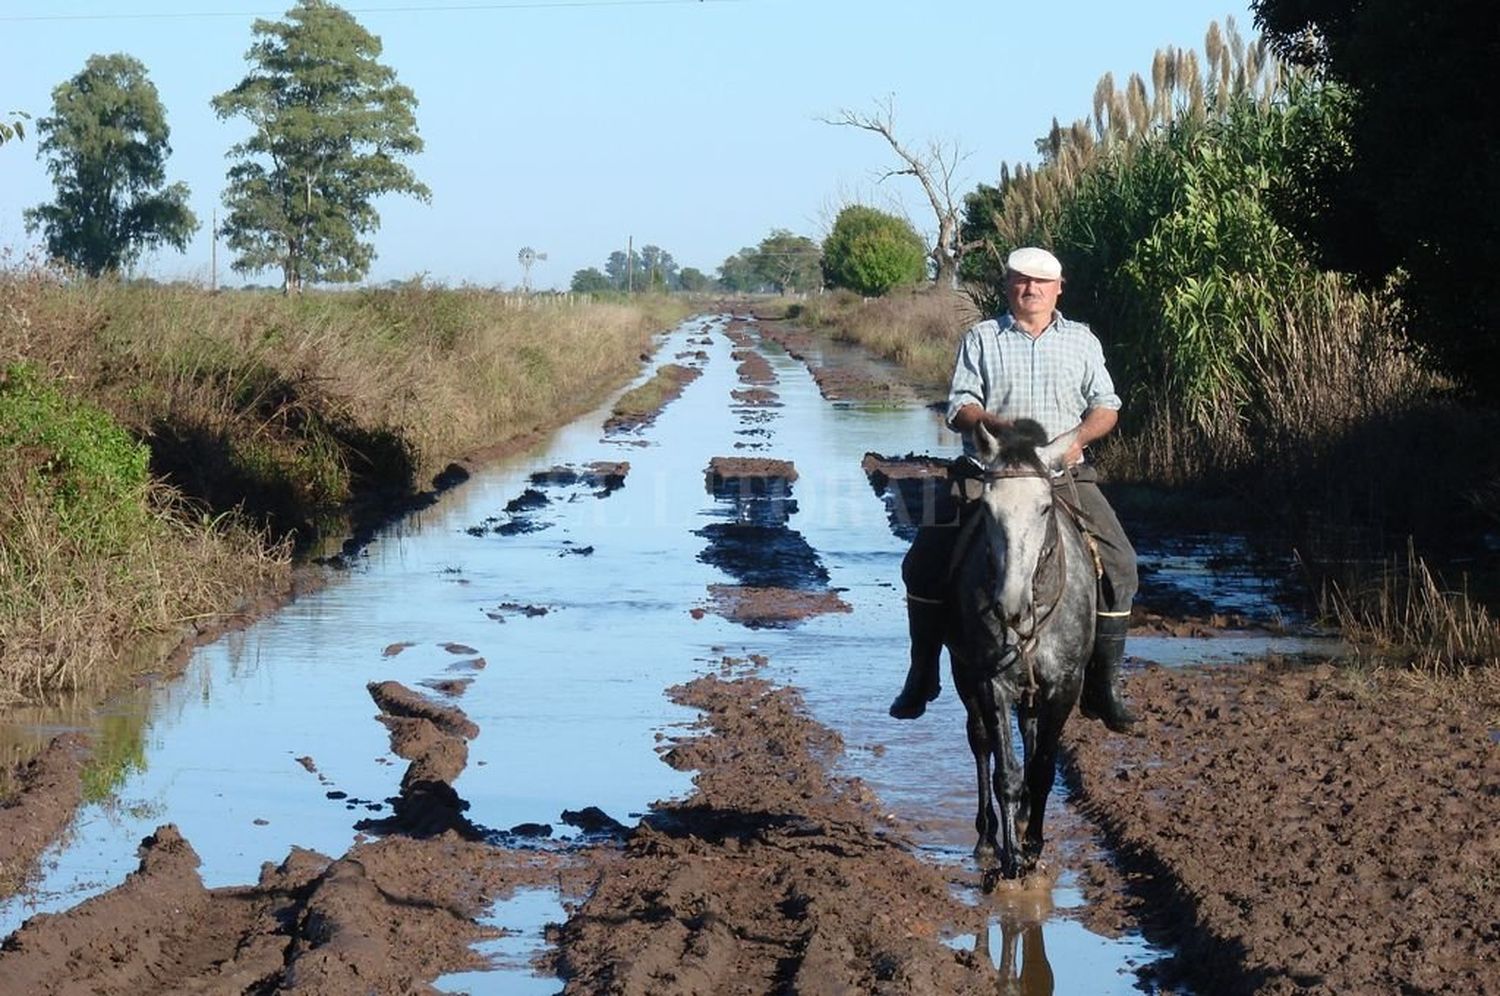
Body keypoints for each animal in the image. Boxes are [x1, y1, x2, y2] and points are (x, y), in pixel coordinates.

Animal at [948, 417, 1092, 882]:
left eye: (1044, 507)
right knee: (980, 743)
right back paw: (985, 838)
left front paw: (1032, 847)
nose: (1009, 606)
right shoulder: (991, 683)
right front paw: (1011, 861)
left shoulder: (1065, 686)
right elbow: (1006, 772)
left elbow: (1043, 767)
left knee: (1028, 736)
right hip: (963, 674)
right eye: (988, 509)